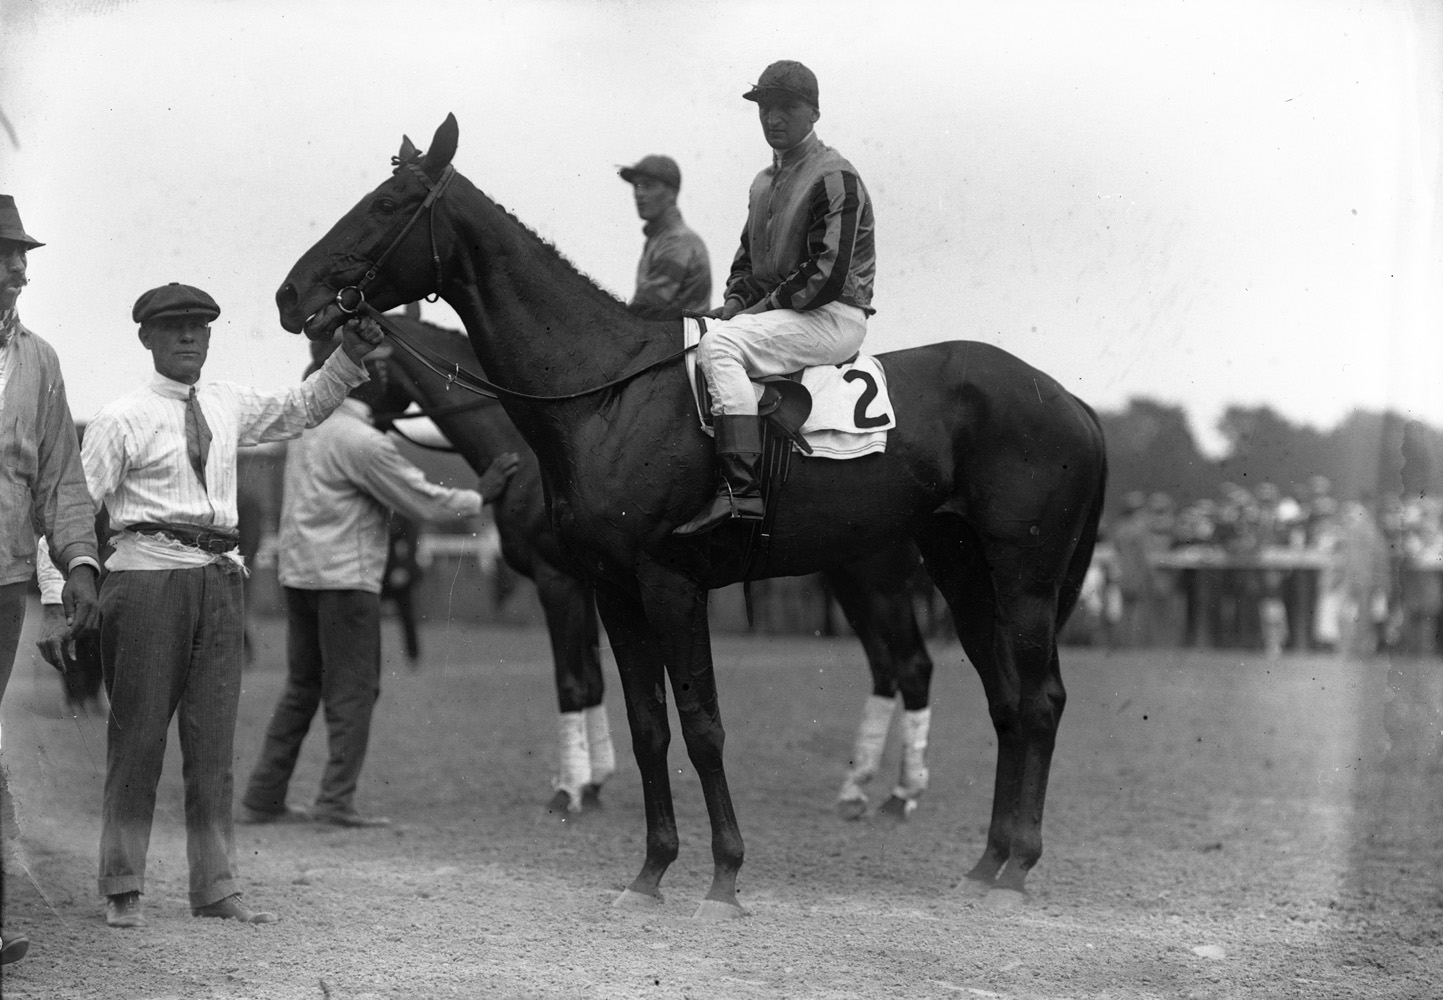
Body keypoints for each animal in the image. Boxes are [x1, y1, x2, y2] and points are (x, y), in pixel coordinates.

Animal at [369, 311, 935, 819]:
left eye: (366, 356)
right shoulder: (595, 585)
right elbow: (595, 681)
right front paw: (594, 780)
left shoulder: (560, 582)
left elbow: (572, 682)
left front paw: (571, 789)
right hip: (848, 580)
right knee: (887, 669)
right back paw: (859, 787)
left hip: (879, 581)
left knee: (912, 665)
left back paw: (902, 794)